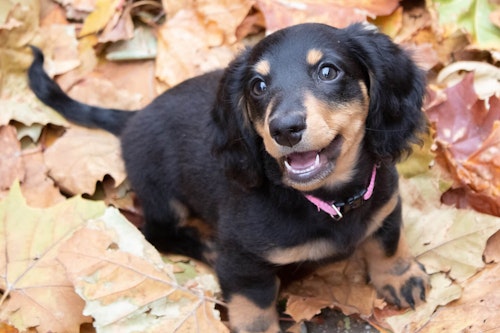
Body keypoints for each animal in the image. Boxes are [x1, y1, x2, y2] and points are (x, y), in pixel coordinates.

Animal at [29, 23, 430, 332]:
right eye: (258, 86)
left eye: (328, 71)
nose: (284, 129)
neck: (328, 201)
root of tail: (134, 118)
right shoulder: (243, 265)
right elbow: (254, 313)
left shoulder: (385, 204)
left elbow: (388, 243)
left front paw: (400, 277)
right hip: (162, 192)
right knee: (156, 233)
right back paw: (206, 246)